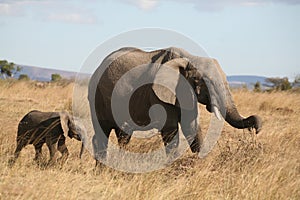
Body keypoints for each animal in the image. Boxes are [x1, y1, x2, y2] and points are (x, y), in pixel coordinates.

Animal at [88, 47, 262, 163]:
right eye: (205, 83)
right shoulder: (158, 93)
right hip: (96, 96)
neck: (189, 59)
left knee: (123, 135)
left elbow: (191, 126)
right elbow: (170, 130)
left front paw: (199, 162)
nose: (256, 129)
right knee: (103, 133)